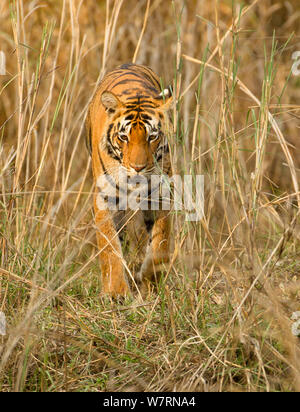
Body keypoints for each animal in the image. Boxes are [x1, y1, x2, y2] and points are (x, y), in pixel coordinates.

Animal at [85, 62, 172, 296]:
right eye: (124, 137)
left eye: (152, 136)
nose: (138, 167)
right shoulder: (104, 198)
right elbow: (109, 247)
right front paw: (116, 291)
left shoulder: (161, 195)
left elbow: (160, 242)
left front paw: (150, 278)